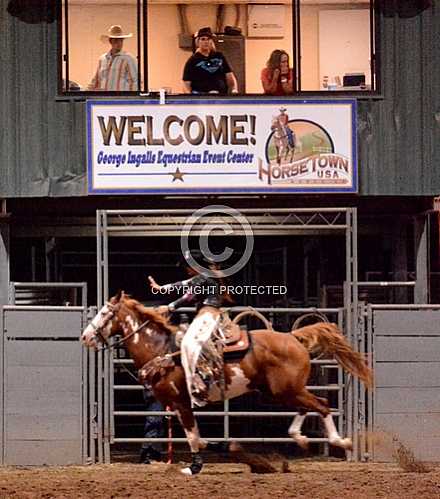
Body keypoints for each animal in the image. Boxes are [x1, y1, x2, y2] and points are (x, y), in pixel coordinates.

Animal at [82, 292, 372, 476]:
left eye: (105, 313)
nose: (85, 336)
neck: (161, 350)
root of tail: (293, 337)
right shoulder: (177, 406)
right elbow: (201, 439)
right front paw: (245, 456)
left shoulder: (182, 403)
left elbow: (194, 438)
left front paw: (194, 468)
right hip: (282, 391)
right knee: (309, 406)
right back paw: (299, 437)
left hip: (286, 390)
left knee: (321, 404)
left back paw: (341, 441)